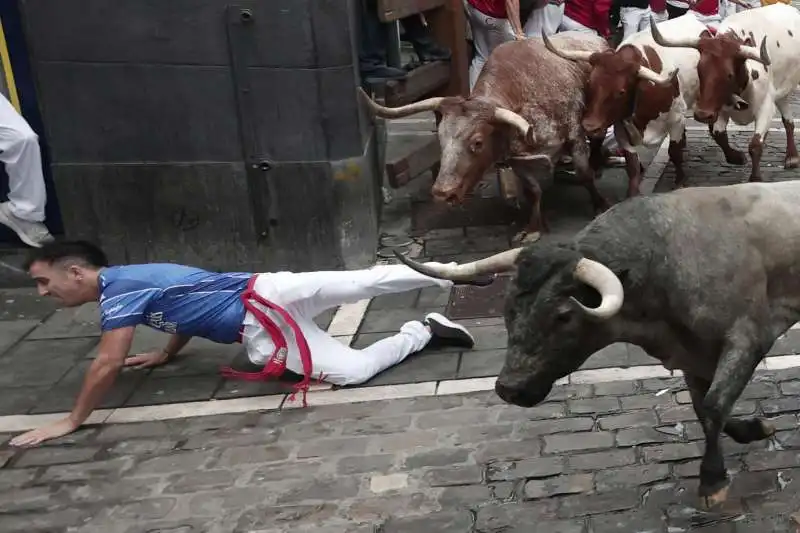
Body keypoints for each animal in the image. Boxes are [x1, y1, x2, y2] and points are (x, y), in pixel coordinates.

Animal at [398, 181, 800, 510]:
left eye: (564, 315)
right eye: (508, 307)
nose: (509, 388)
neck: (666, 257)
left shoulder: (747, 338)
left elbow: (715, 406)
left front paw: (712, 481)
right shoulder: (693, 355)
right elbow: (704, 408)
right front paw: (753, 430)